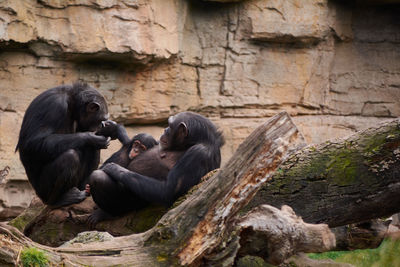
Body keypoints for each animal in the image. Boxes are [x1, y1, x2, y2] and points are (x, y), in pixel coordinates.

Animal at [87, 111, 223, 224]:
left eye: (170, 126)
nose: (165, 129)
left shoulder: (198, 154)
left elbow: (168, 191)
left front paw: (113, 168)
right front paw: (114, 128)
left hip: (131, 202)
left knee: (98, 178)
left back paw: (105, 213)